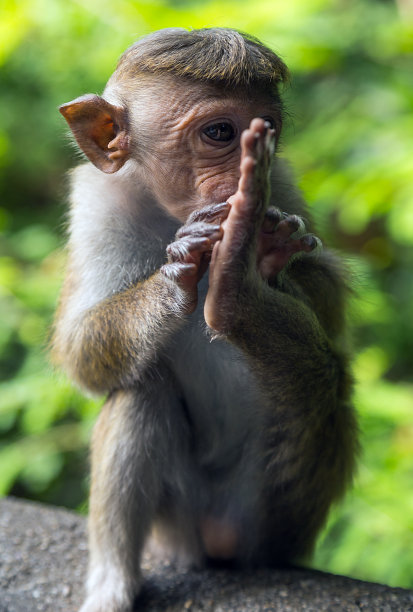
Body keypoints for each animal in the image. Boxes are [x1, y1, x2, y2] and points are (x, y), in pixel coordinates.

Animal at [53, 27, 358, 612]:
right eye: (219, 132)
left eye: (266, 130)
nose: (243, 179)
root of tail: (217, 538)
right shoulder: (98, 204)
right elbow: (78, 355)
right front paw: (179, 275)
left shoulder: (282, 181)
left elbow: (331, 299)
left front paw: (266, 254)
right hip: (176, 522)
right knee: (140, 391)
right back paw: (113, 584)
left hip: (276, 512)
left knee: (324, 387)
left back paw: (238, 296)